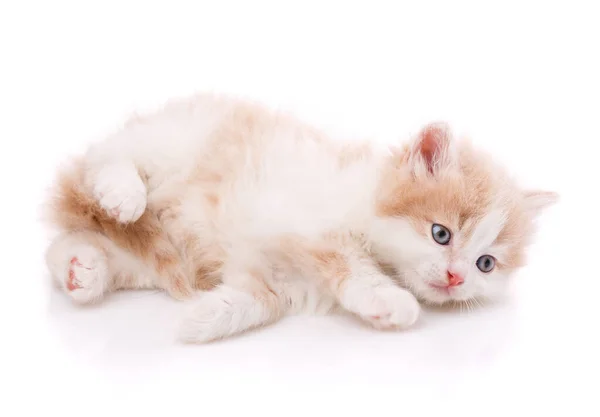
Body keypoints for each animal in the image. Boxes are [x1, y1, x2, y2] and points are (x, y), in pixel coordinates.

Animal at [44, 93, 556, 342]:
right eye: (440, 233)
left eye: (486, 264)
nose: (455, 278)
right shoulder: (310, 224)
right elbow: (354, 267)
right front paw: (393, 302)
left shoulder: (272, 280)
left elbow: (255, 303)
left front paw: (202, 320)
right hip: (168, 143)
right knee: (105, 157)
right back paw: (122, 195)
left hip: (159, 255)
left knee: (71, 246)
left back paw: (82, 271)